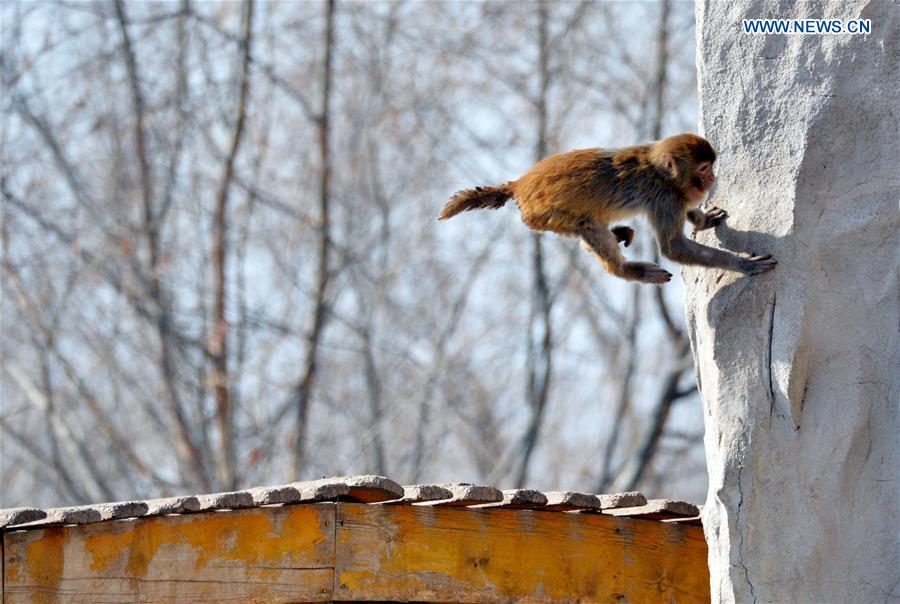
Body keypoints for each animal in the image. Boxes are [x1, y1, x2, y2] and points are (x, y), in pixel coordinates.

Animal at [440, 133, 776, 284]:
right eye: (705, 169)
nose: (713, 178)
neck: (659, 172)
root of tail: (518, 185)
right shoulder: (664, 198)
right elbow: (674, 247)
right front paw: (742, 264)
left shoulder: (676, 196)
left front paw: (703, 220)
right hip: (547, 214)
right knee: (589, 229)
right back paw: (625, 269)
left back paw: (616, 234)